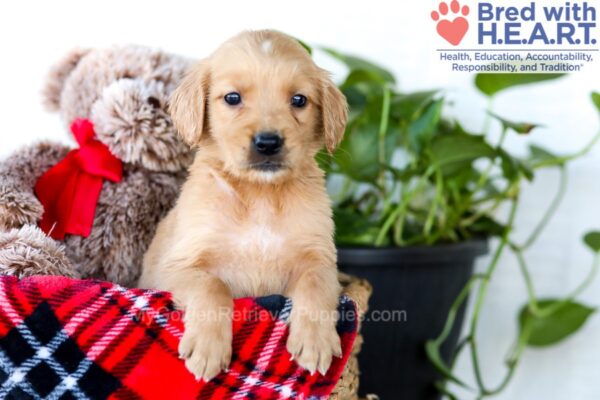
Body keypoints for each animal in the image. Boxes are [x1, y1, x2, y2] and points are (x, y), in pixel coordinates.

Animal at [139, 30, 350, 382]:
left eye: (299, 100)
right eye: (232, 98)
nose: (268, 143)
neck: (260, 196)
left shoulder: (321, 260)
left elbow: (315, 285)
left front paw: (315, 341)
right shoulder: (174, 267)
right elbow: (213, 286)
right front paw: (208, 348)